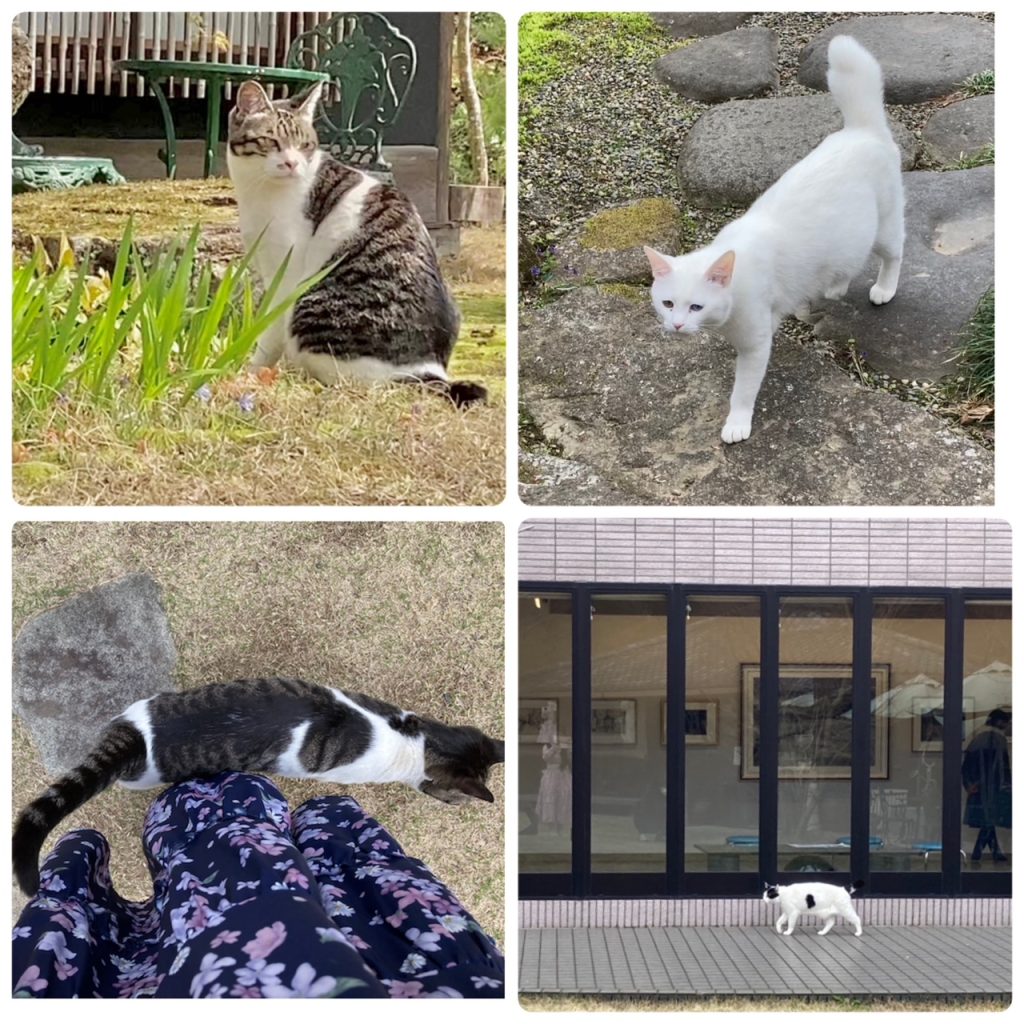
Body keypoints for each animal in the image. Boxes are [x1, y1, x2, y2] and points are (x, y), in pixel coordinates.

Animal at [647, 35, 905, 444]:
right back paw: (835, 286)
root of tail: (861, 130)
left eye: (696, 307)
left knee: (894, 253)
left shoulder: (755, 344)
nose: (676, 326)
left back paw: (884, 288)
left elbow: (743, 388)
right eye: (667, 303)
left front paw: (737, 422)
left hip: (885, 226)